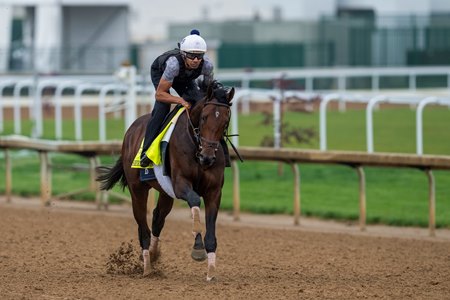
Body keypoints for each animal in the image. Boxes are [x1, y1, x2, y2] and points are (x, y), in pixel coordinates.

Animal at [96, 80, 236, 282]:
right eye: (204, 118)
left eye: (225, 122)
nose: (207, 157)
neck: (195, 146)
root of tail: (131, 130)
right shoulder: (180, 185)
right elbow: (195, 200)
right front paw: (197, 248)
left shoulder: (214, 191)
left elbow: (211, 233)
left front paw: (211, 272)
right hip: (137, 190)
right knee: (143, 229)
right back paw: (147, 267)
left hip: (165, 191)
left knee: (157, 218)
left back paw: (153, 255)